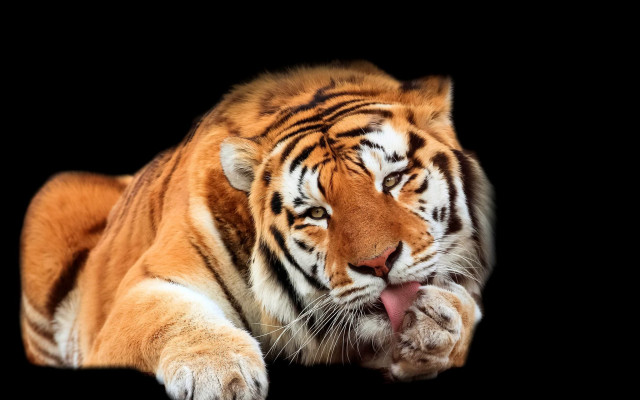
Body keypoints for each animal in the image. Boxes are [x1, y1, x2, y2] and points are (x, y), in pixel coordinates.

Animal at [20, 61, 494, 399]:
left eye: (392, 181)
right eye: (316, 213)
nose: (378, 263)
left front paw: (440, 322)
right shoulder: (144, 284)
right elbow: (168, 318)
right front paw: (221, 374)